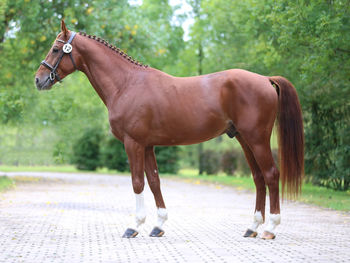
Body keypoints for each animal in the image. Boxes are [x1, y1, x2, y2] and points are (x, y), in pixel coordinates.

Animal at [35, 21, 304, 241]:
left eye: (56, 49)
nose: (39, 80)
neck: (127, 84)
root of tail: (265, 79)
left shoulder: (133, 143)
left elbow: (137, 182)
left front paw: (134, 226)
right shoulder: (147, 145)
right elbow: (154, 181)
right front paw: (158, 226)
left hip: (257, 139)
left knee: (271, 175)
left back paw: (270, 228)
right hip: (244, 140)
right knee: (258, 178)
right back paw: (252, 227)